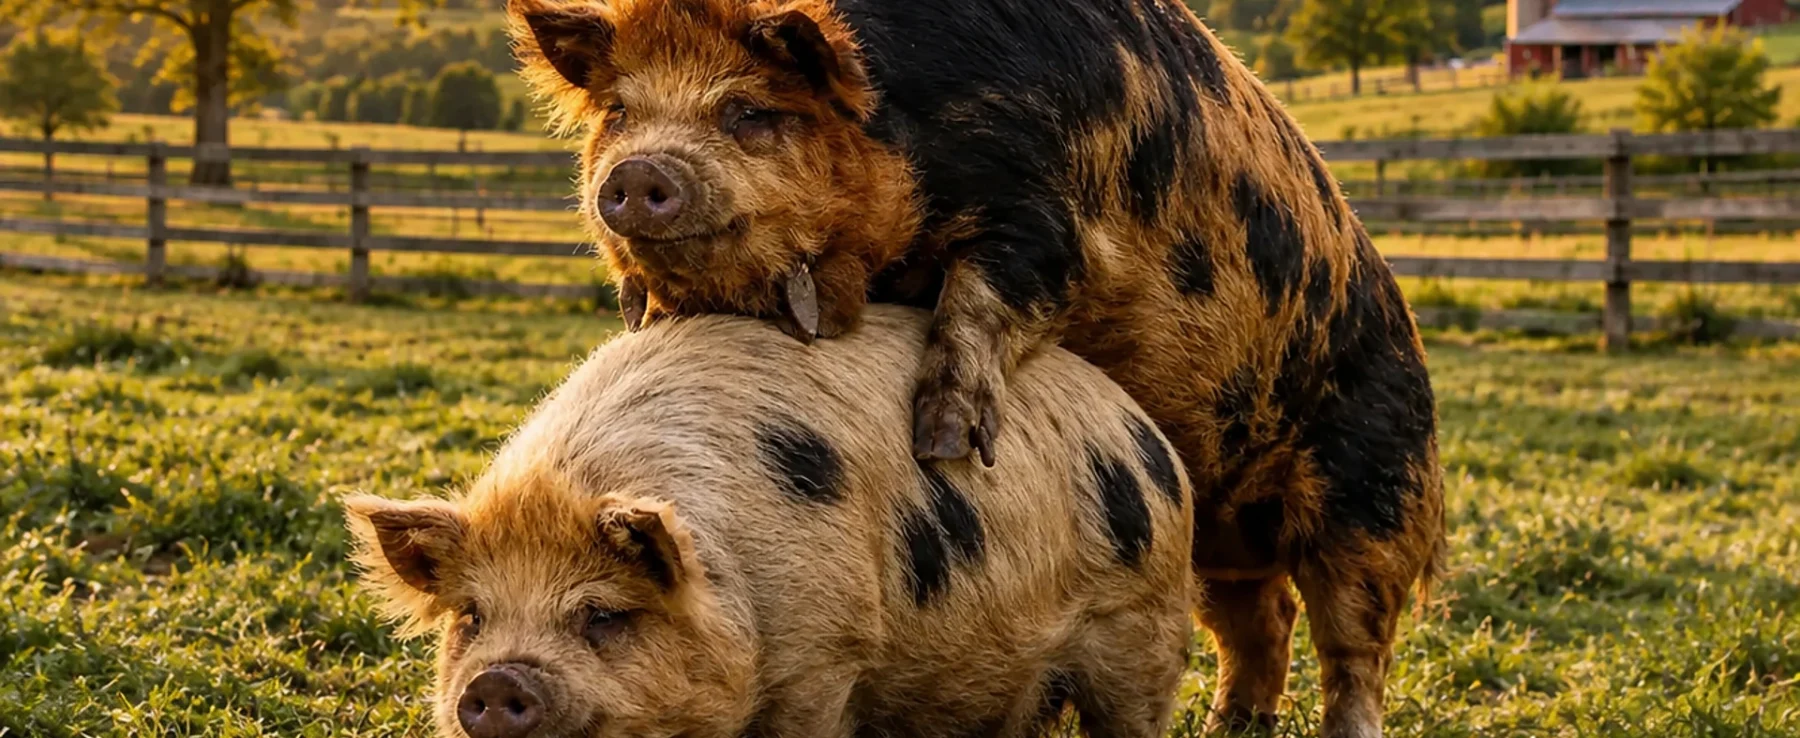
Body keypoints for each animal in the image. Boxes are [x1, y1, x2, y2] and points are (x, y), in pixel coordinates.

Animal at [345, 305, 1196, 738]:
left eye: (603, 615)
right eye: (472, 617)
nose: (495, 683)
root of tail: (1150, 435)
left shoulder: (827, 656)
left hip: (1140, 629)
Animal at [506, 0, 1445, 735]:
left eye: (748, 111)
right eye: (618, 110)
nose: (636, 176)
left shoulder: (1048, 221)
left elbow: (986, 293)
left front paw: (948, 444)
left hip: (1375, 483)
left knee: (1354, 638)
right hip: (1217, 526)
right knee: (1260, 617)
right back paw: (1231, 723)